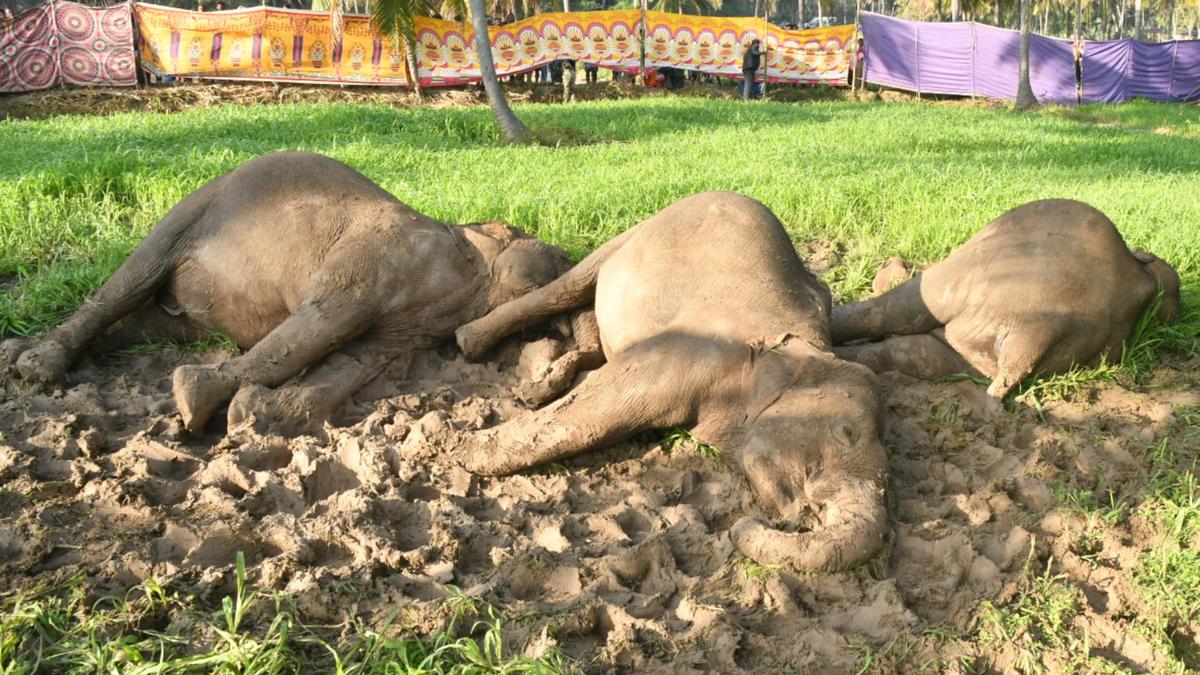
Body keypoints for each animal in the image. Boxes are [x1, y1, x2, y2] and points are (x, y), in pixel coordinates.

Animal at [1, 152, 590, 435]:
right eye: (557, 258)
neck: (468, 260)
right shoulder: (377, 260)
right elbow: (323, 322)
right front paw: (196, 400)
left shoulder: (409, 326)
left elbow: (356, 359)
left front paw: (255, 417)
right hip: (196, 206)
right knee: (133, 275)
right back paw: (35, 366)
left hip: (182, 310)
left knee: (140, 323)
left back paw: (19, 356)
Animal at [454, 191, 888, 573]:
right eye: (845, 433)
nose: (741, 526)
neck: (802, 344)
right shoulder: (696, 350)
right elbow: (600, 409)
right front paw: (462, 451)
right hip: (633, 233)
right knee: (569, 286)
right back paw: (470, 343)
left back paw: (541, 385)